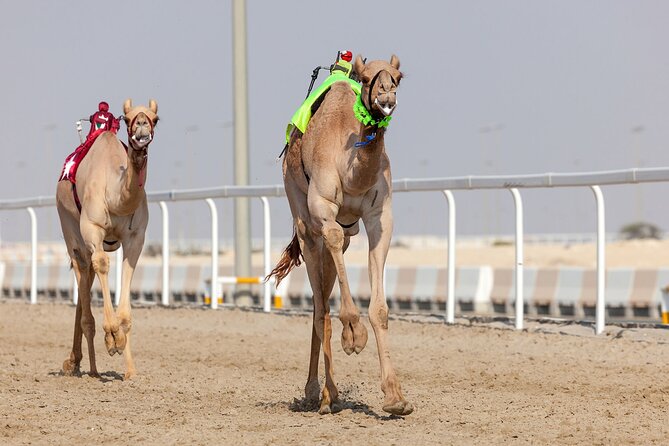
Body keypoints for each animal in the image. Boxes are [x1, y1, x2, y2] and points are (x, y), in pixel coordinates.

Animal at [55, 98, 158, 380]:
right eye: (127, 118)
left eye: (156, 118)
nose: (142, 127)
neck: (116, 196)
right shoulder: (92, 229)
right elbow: (102, 265)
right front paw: (111, 337)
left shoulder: (135, 237)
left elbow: (127, 276)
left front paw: (128, 364)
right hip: (71, 232)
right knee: (84, 270)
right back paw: (89, 368)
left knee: (86, 279)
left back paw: (77, 362)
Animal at [268, 55, 412, 414]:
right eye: (366, 78)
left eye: (399, 77)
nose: (386, 98)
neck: (353, 171)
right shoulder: (323, 209)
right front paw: (354, 336)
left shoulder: (379, 218)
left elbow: (380, 310)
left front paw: (395, 397)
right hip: (302, 219)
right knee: (320, 304)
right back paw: (322, 393)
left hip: (346, 233)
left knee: (323, 296)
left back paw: (321, 392)